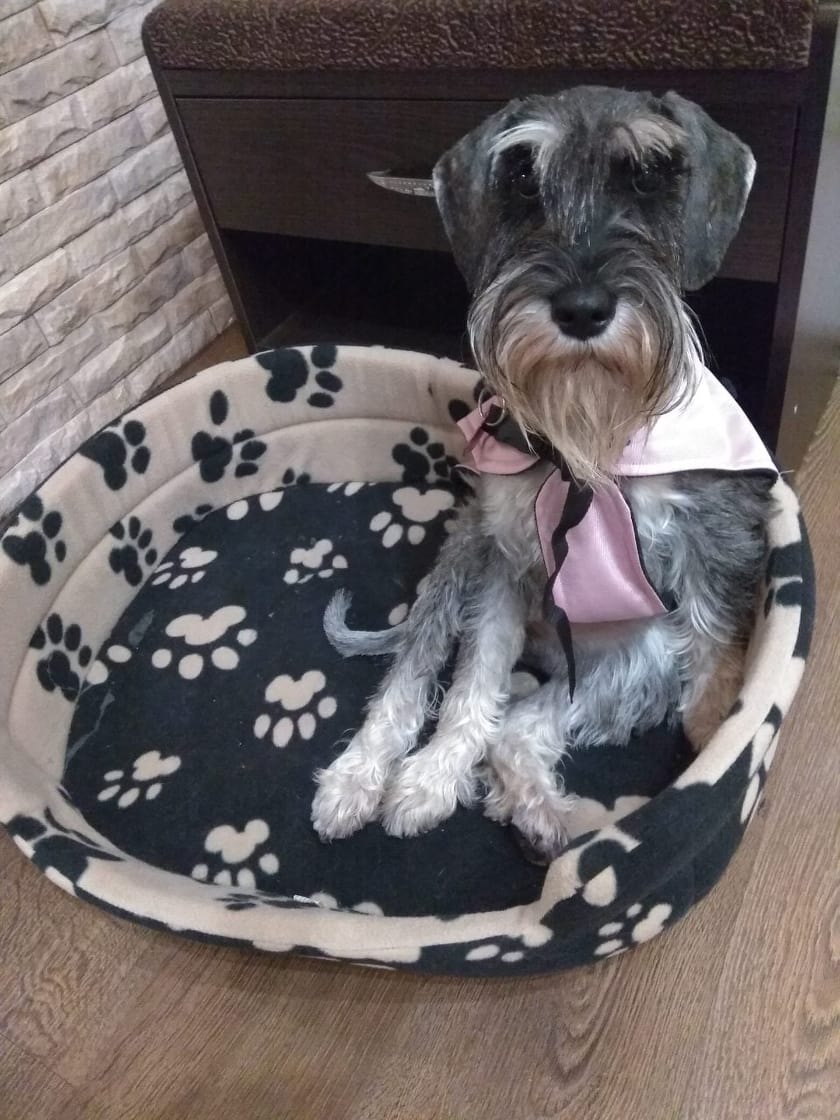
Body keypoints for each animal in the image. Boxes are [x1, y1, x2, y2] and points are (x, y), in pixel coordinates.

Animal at [310, 86, 776, 862]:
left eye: (648, 177)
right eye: (524, 181)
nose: (582, 309)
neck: (587, 444)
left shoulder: (712, 535)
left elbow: (714, 648)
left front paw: (717, 741)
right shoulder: (503, 559)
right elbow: (472, 680)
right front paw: (428, 781)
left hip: (636, 660)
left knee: (522, 726)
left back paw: (540, 814)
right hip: (459, 566)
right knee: (418, 673)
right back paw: (360, 777)